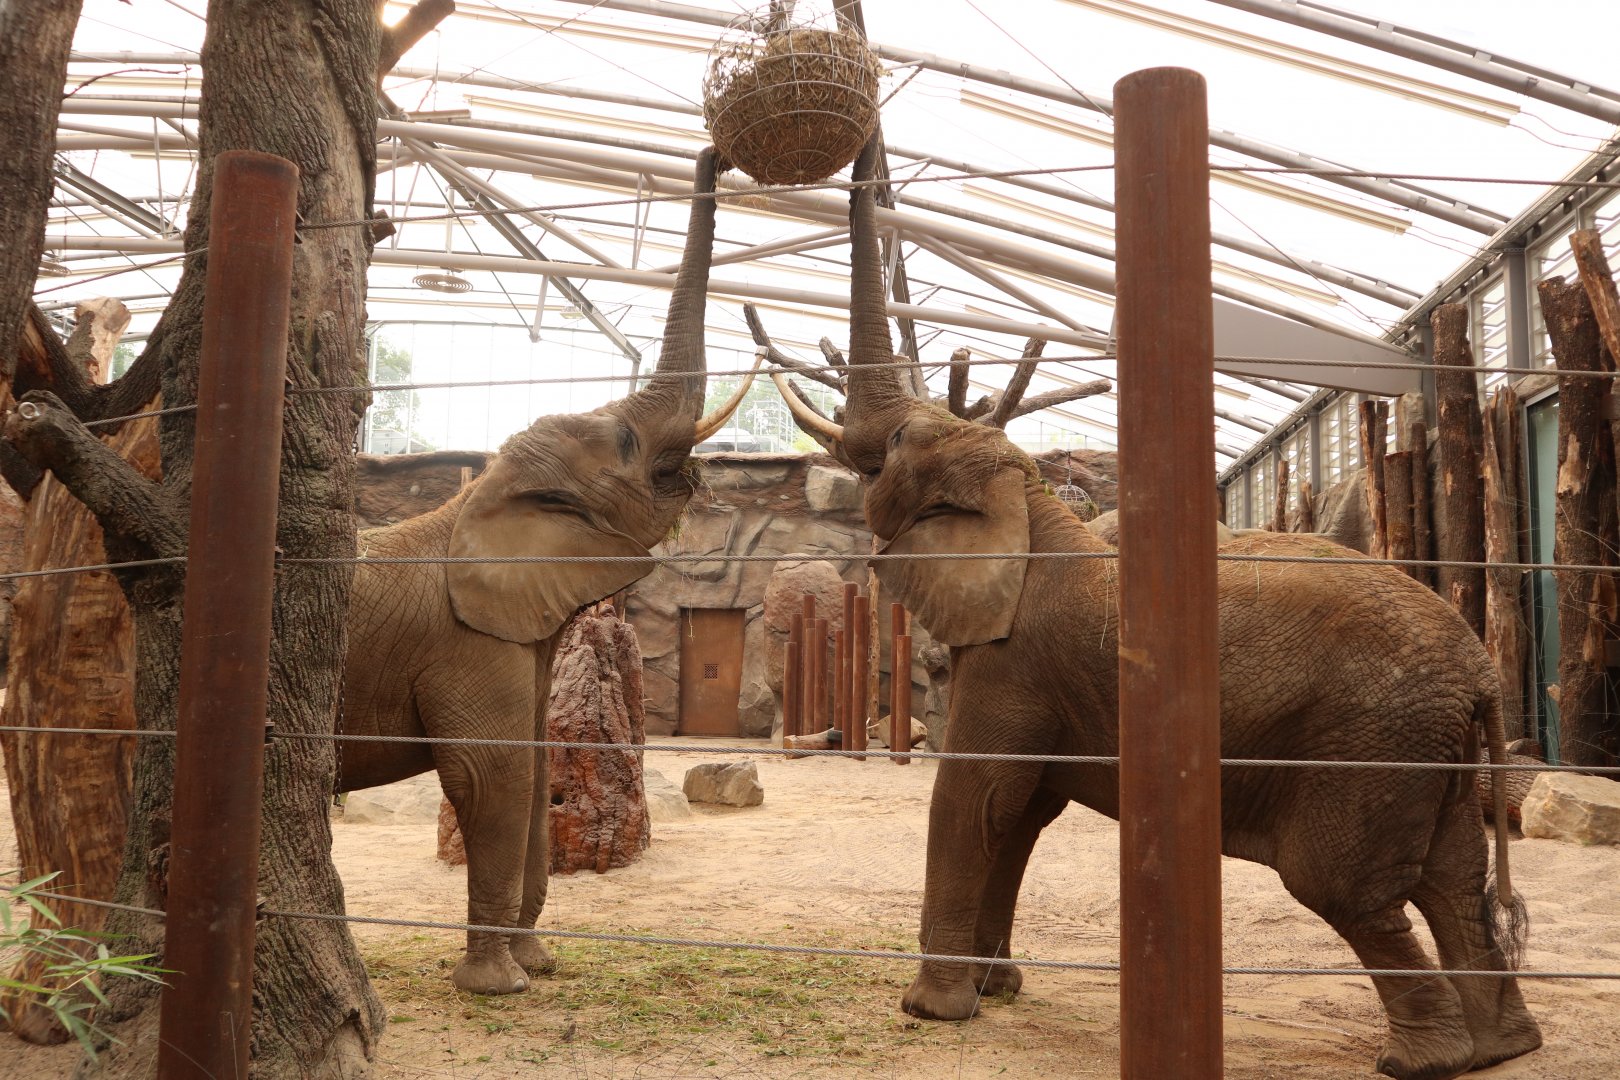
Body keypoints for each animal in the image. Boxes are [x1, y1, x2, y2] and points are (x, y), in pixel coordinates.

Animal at [336, 148, 751, 995]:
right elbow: (490, 776)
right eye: (626, 443)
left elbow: (532, 769)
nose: (714, 154)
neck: (473, 500)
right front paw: (498, 986)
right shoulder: (467, 642)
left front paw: (536, 964)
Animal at [773, 140, 1542, 1079]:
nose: (864, 153)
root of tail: (1479, 673)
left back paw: (1423, 1060)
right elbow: (1021, 814)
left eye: (888, 451)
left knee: (1349, 891)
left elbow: (977, 799)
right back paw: (1502, 1048)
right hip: (1428, 750)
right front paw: (997, 993)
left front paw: (930, 1011)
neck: (1031, 502)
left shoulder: (1015, 662)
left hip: (1366, 747)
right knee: (1452, 879)